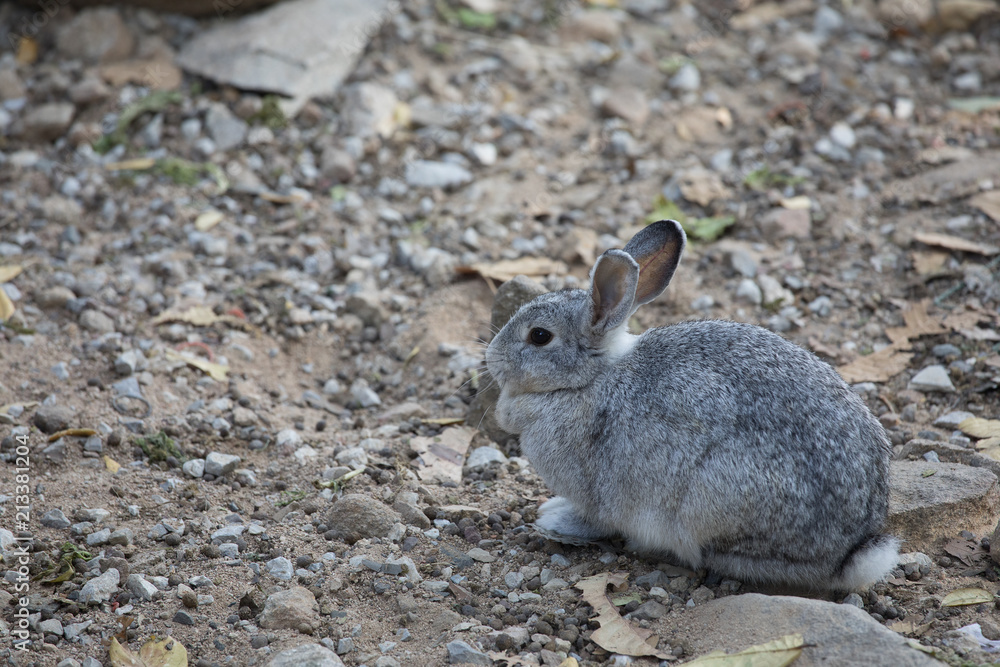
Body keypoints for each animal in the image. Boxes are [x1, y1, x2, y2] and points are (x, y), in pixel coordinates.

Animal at [485, 219, 899, 591]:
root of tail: (848, 553)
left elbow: (596, 520)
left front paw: (554, 520)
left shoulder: (598, 492)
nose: (491, 357)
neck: (589, 378)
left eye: (539, 336)